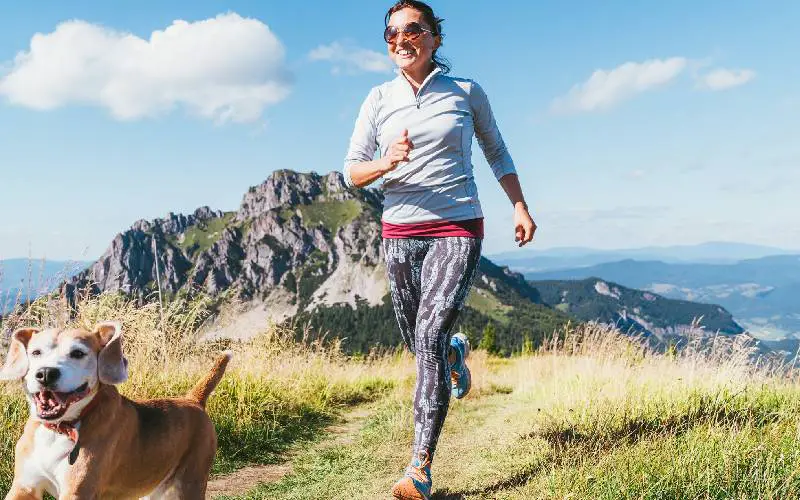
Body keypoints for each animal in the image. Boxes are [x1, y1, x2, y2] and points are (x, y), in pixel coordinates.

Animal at [0, 322, 231, 498]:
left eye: (78, 353)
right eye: (35, 352)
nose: (46, 373)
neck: (60, 429)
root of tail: (193, 400)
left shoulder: (77, 491)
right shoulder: (23, 487)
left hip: (190, 482)